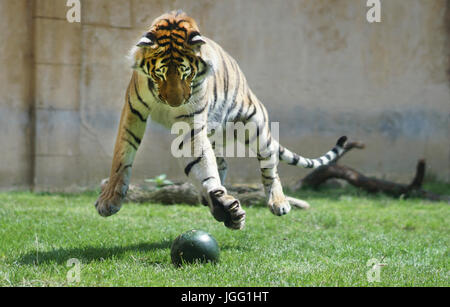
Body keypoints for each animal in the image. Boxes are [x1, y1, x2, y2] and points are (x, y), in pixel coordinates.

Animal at [96, 10, 348, 231]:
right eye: (160, 73)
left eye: (185, 72)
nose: (175, 103)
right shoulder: (133, 110)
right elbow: (122, 157)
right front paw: (109, 200)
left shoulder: (190, 125)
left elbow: (200, 162)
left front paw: (223, 206)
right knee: (222, 161)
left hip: (255, 126)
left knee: (270, 167)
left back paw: (279, 202)